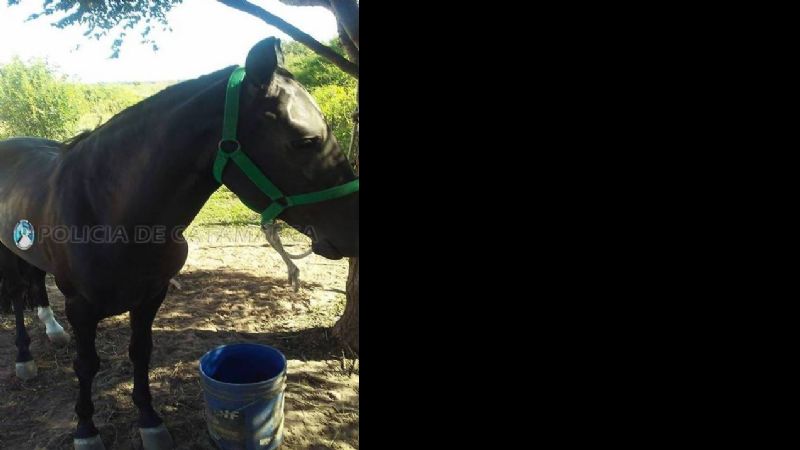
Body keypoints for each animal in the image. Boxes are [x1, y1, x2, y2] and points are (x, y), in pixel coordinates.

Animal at [0, 37, 358, 450]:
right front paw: (86, 430)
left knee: (35, 283)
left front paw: (150, 421)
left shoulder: (151, 296)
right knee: (17, 293)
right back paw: (24, 358)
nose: (353, 229)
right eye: (304, 141)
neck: (108, 209)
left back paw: (52, 331)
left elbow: (141, 354)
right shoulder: (81, 307)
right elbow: (86, 365)